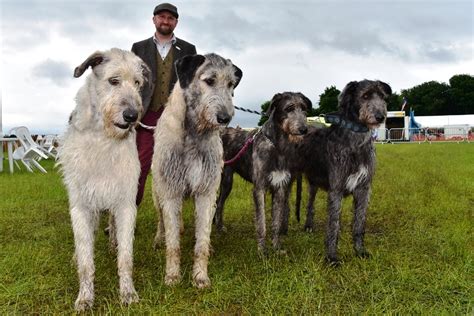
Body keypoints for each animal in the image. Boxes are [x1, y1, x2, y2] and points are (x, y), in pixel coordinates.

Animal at [58, 48, 150, 310]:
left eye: (137, 83)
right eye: (113, 80)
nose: (132, 116)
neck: (103, 138)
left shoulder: (126, 201)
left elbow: (126, 256)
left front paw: (128, 292)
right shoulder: (80, 204)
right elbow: (86, 259)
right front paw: (85, 297)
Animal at [152, 53, 243, 288]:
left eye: (231, 84)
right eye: (209, 80)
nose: (225, 118)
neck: (193, 133)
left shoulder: (206, 191)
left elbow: (201, 238)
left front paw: (200, 276)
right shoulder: (171, 191)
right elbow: (173, 243)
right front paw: (172, 275)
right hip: (157, 192)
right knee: (161, 220)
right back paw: (159, 238)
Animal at [216, 91, 312, 252]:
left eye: (304, 108)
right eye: (289, 108)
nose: (304, 130)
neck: (277, 146)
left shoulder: (280, 188)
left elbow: (277, 221)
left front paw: (277, 247)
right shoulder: (259, 188)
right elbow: (261, 222)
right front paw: (262, 250)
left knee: (218, 202)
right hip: (224, 181)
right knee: (219, 203)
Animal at [296, 79, 392, 264]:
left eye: (382, 97)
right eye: (365, 96)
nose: (380, 117)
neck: (356, 140)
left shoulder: (364, 188)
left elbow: (359, 224)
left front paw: (360, 251)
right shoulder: (336, 188)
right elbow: (334, 224)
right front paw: (332, 257)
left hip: (314, 180)